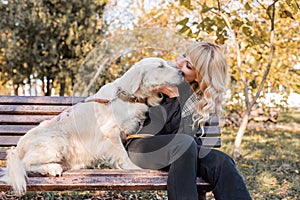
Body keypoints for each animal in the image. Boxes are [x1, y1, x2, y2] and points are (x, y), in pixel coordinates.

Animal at [0, 56, 184, 194]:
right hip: (57, 140)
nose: (182, 72)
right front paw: (135, 168)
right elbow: (123, 155)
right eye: (160, 66)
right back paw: (51, 168)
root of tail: (18, 147)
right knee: (25, 164)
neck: (128, 97)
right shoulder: (110, 134)